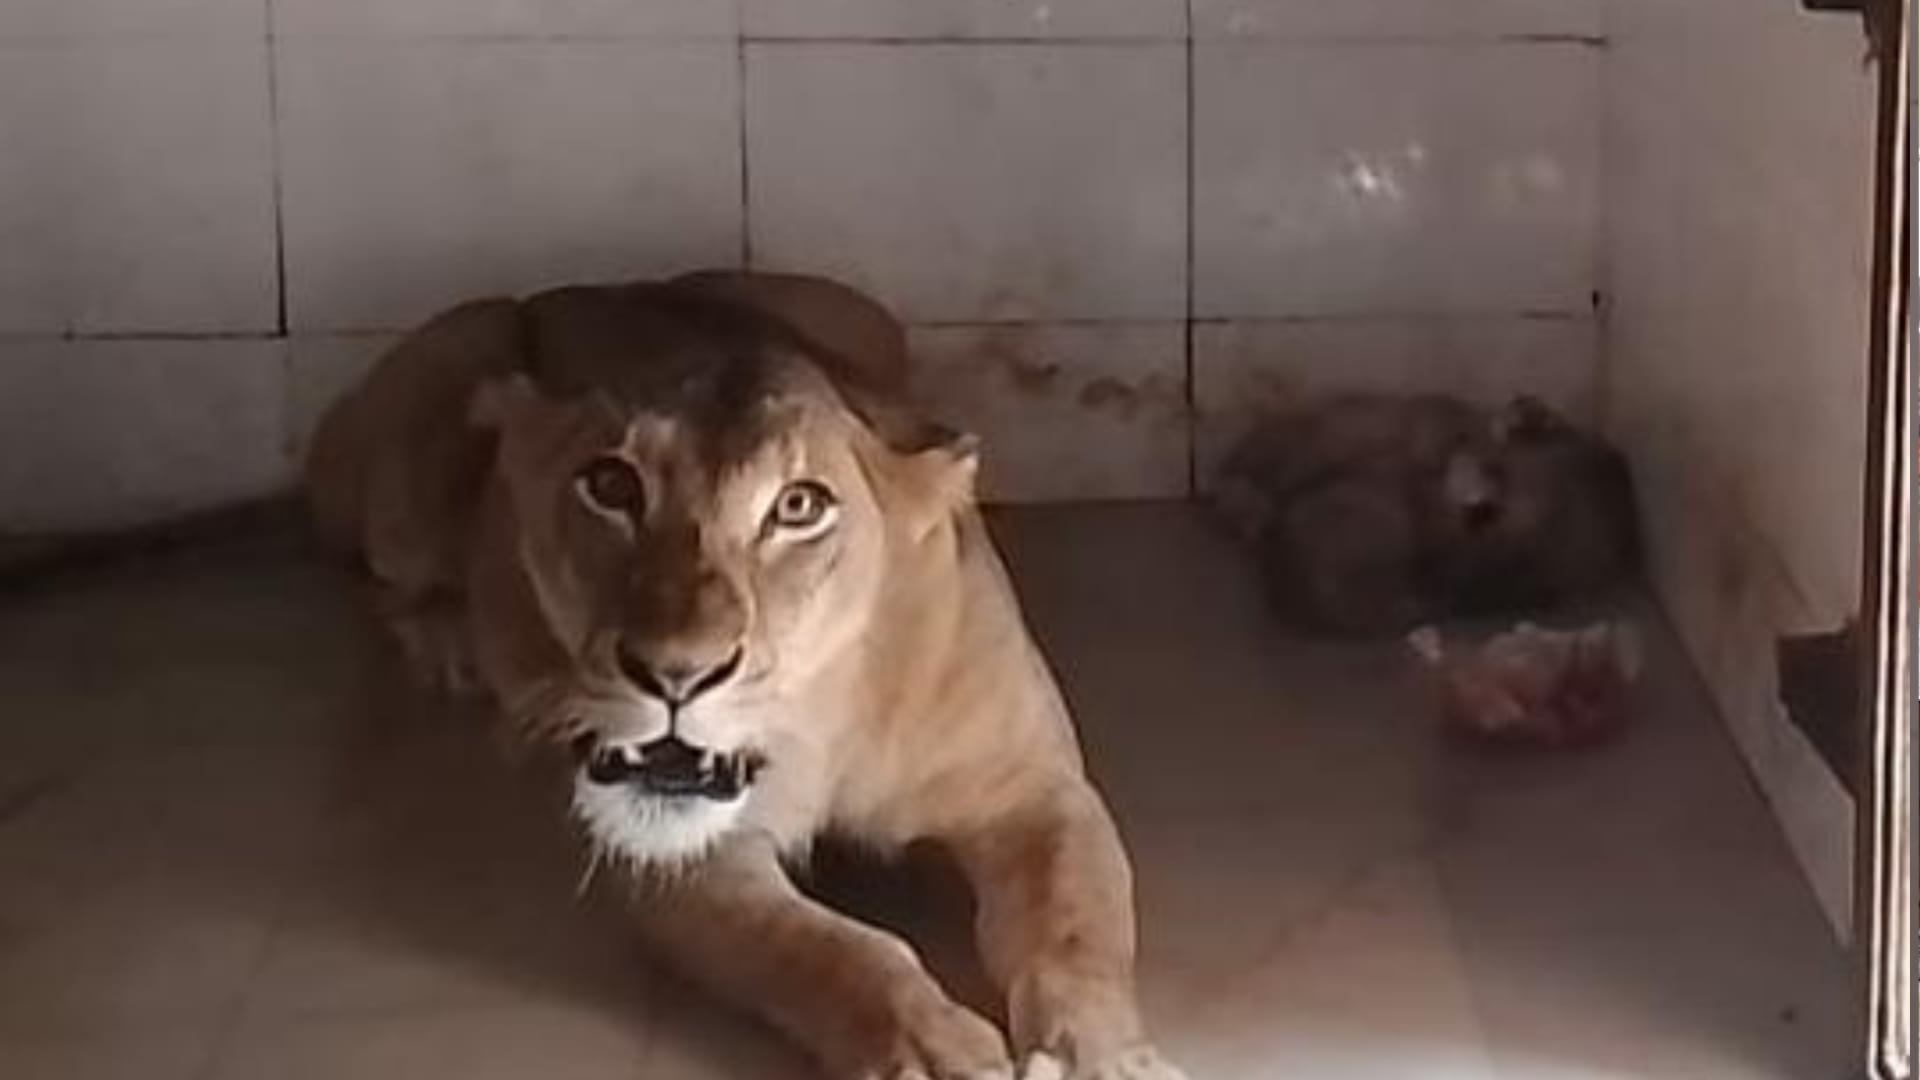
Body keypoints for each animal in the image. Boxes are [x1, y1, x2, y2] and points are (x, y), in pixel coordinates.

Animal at [305, 270, 1187, 1080]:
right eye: (610, 485)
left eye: (799, 507)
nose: (673, 674)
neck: (821, 718)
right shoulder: (686, 863)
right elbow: (835, 950)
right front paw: (938, 1053)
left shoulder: (1034, 790)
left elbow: (1078, 926)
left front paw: (1111, 1058)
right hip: (454, 370)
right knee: (389, 577)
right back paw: (452, 642)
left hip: (869, 316)